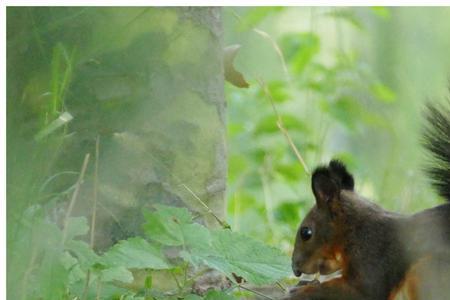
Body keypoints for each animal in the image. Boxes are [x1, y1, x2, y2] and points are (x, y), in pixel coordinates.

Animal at [286, 101, 450, 300]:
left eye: (306, 233)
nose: (295, 268)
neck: (354, 231)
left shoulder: (373, 261)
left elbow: (358, 291)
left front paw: (301, 290)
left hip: (429, 271)